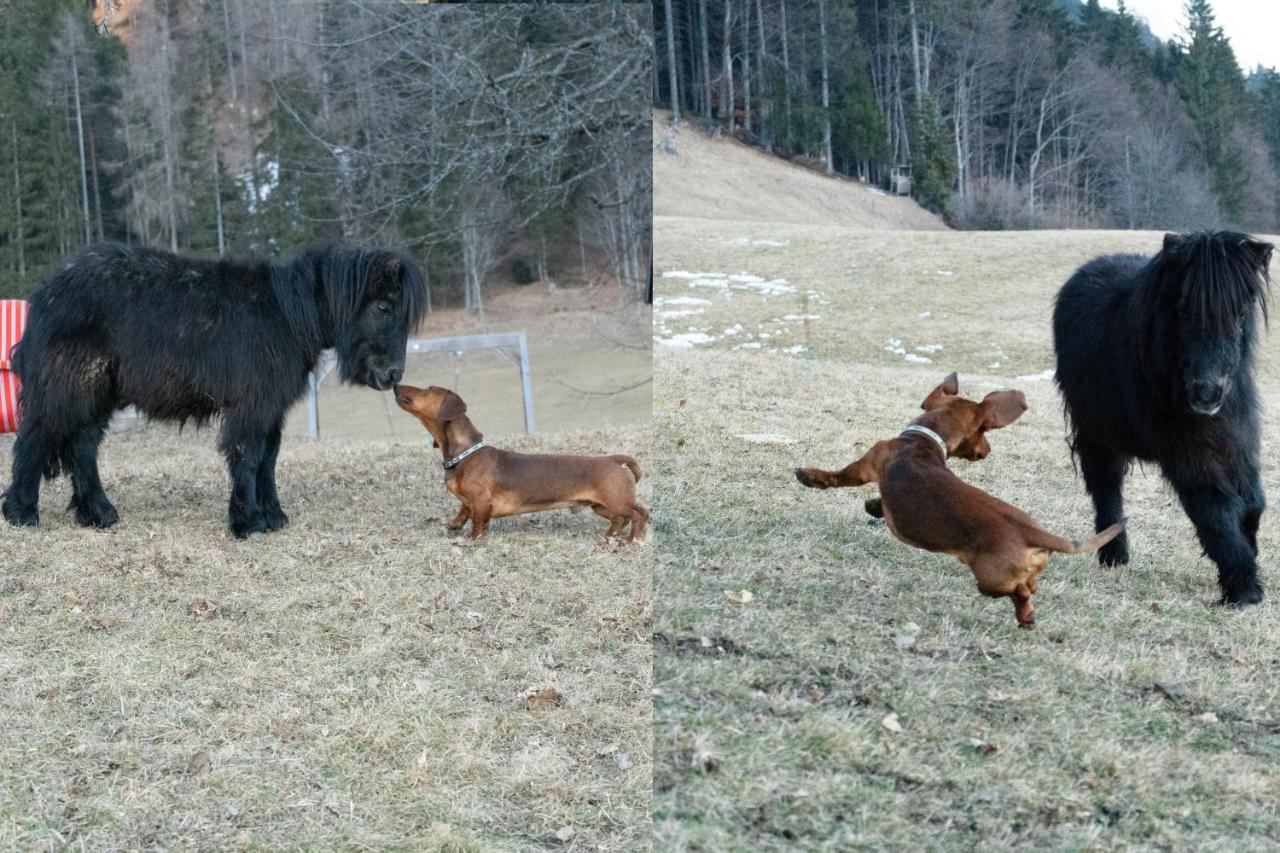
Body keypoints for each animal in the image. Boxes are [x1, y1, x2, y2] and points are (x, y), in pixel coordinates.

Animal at [1, 239, 430, 535]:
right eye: (384, 307)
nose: (392, 375)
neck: (287, 316)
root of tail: (45, 295)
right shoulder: (252, 405)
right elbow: (248, 455)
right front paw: (248, 522)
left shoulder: (270, 407)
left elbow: (269, 458)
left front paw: (273, 516)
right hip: (69, 387)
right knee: (36, 438)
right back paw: (22, 514)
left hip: (96, 393)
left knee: (82, 446)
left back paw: (99, 514)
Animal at [391, 384, 650, 537]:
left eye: (429, 388)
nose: (395, 384)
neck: (465, 454)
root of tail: (614, 460)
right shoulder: (471, 501)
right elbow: (464, 509)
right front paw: (455, 524)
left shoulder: (480, 501)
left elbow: (477, 522)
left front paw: (473, 539)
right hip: (600, 506)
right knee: (620, 520)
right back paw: (611, 536)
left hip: (617, 501)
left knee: (640, 514)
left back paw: (632, 539)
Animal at [793, 371, 1126, 625]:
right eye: (984, 433)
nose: (988, 451)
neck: (922, 439)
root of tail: (1033, 531)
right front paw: (874, 506)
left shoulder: (868, 463)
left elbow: (839, 477)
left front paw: (810, 476)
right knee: (1031, 584)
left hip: (991, 579)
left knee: (1019, 593)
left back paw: (1025, 615)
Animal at [1054, 233, 1274, 604]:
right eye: (1182, 311)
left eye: (1240, 312)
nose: (1205, 394)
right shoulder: (1187, 451)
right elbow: (1214, 508)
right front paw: (1243, 588)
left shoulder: (1237, 440)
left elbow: (1253, 503)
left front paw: (1250, 555)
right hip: (1097, 431)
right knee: (1106, 486)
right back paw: (1113, 554)